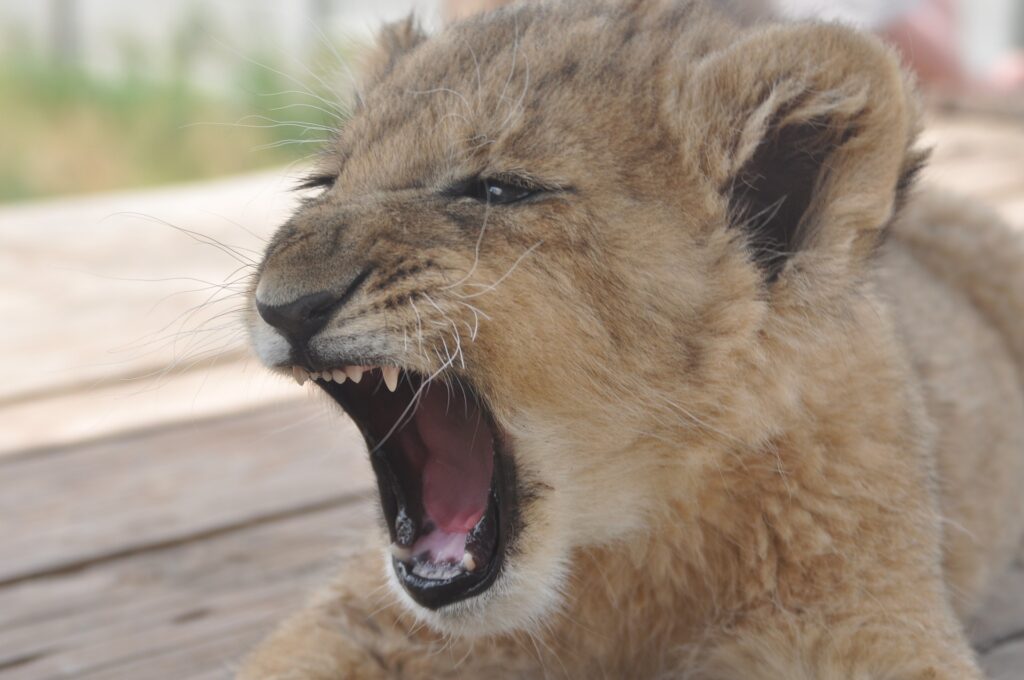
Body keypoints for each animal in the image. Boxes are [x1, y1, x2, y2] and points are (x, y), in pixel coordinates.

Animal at [240, 1, 1024, 677]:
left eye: (498, 190)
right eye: (323, 184)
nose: (286, 307)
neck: (618, 550)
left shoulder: (862, 620)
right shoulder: (365, 620)